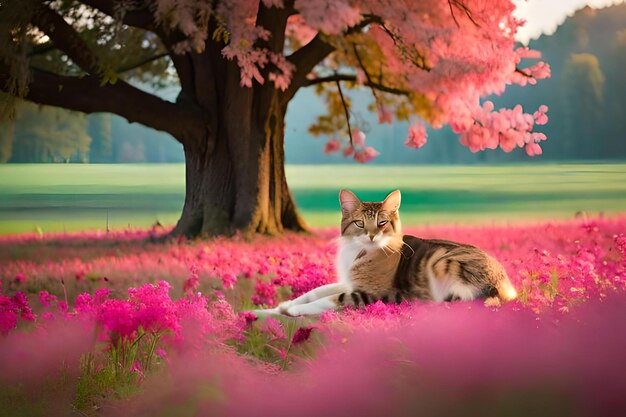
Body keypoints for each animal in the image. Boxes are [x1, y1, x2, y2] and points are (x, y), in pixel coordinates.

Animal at [254, 188, 516, 316]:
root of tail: (505, 286)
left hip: (442, 262)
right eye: (360, 223)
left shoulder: (373, 292)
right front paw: (282, 305)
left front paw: (294, 309)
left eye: (382, 223)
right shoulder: (349, 282)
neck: (361, 252)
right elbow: (317, 291)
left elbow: (332, 298)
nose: (372, 235)